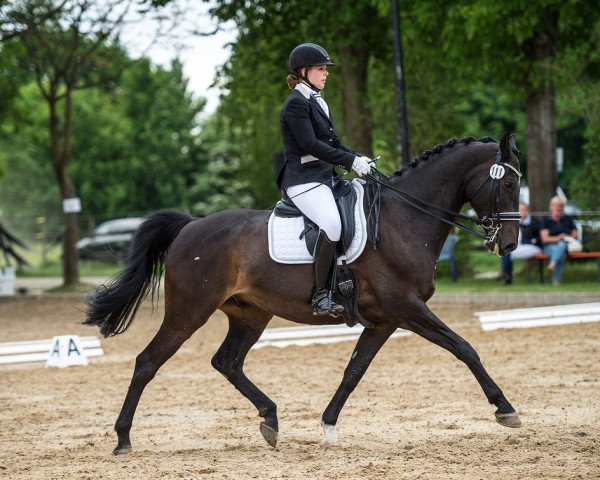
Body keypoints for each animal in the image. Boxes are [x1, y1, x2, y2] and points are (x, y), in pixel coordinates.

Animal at [82, 132, 524, 454]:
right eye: (510, 182)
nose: (508, 245)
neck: (404, 219)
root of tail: (190, 225)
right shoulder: (407, 308)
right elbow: (464, 347)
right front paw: (505, 409)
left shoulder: (384, 320)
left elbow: (353, 372)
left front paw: (328, 426)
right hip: (189, 311)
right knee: (147, 362)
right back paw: (123, 439)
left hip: (250, 314)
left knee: (227, 362)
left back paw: (270, 419)